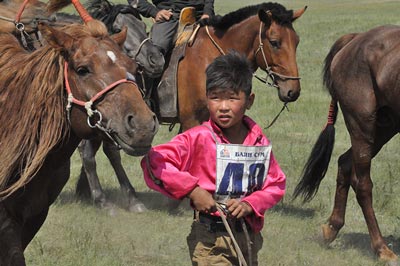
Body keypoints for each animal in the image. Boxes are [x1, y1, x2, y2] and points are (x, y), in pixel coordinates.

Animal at [292, 24, 400, 264]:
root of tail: (356, 38)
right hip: (362, 125)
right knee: (362, 184)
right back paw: (381, 248)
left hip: (385, 127)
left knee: (345, 162)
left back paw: (332, 227)